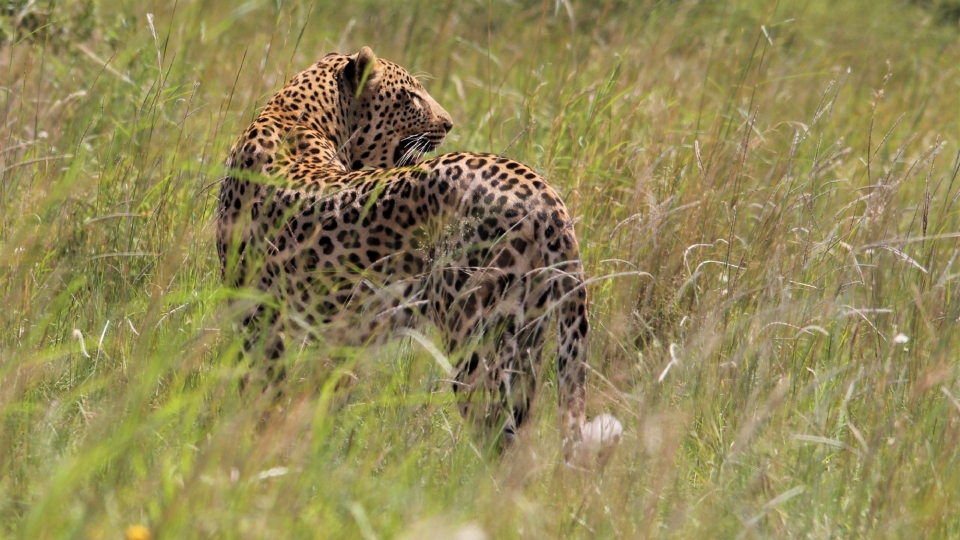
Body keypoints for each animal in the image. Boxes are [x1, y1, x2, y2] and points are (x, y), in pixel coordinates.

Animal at [218, 46, 624, 462]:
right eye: (411, 97)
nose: (448, 124)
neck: (297, 117)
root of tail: (542, 191)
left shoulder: (255, 311)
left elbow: (263, 390)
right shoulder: (334, 332)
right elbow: (321, 392)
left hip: (473, 334)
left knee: (497, 433)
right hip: (528, 333)